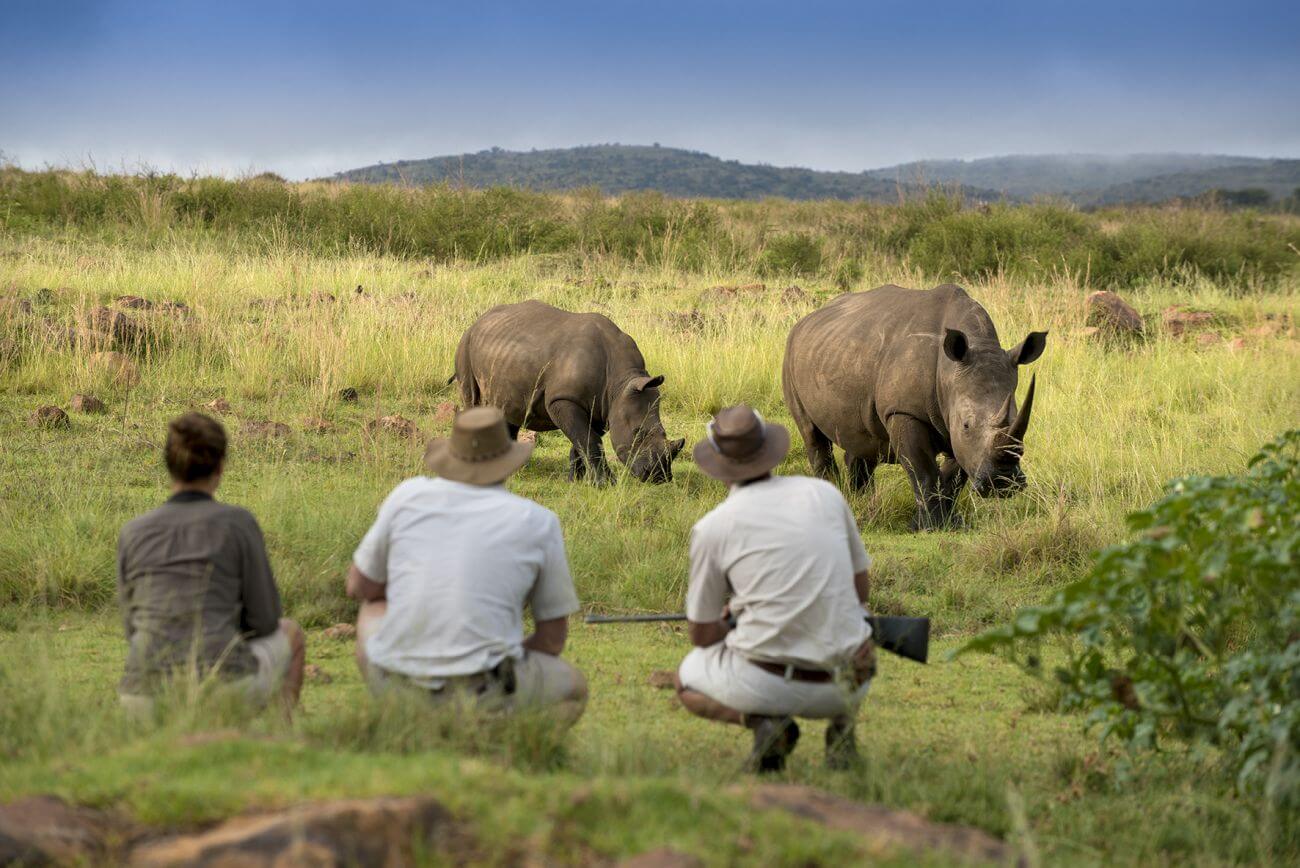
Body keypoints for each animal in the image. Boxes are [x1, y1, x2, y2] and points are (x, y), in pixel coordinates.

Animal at [454, 300, 685, 483]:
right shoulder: (564, 399)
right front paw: (606, 484)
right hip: (464, 344)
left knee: (509, 410)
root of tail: (477, 321)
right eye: (638, 432)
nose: (659, 477)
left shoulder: (601, 406)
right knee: (473, 401)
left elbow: (583, 441)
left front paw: (577, 482)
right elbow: (589, 440)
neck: (620, 382)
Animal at [782, 284, 1046, 530]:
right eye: (966, 425)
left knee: (861, 440)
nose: (1002, 483)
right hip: (791, 355)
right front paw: (929, 527)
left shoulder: (954, 420)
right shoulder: (904, 411)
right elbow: (923, 470)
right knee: (812, 435)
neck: (948, 371)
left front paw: (948, 523)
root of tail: (805, 320)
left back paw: (861, 500)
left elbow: (954, 475)